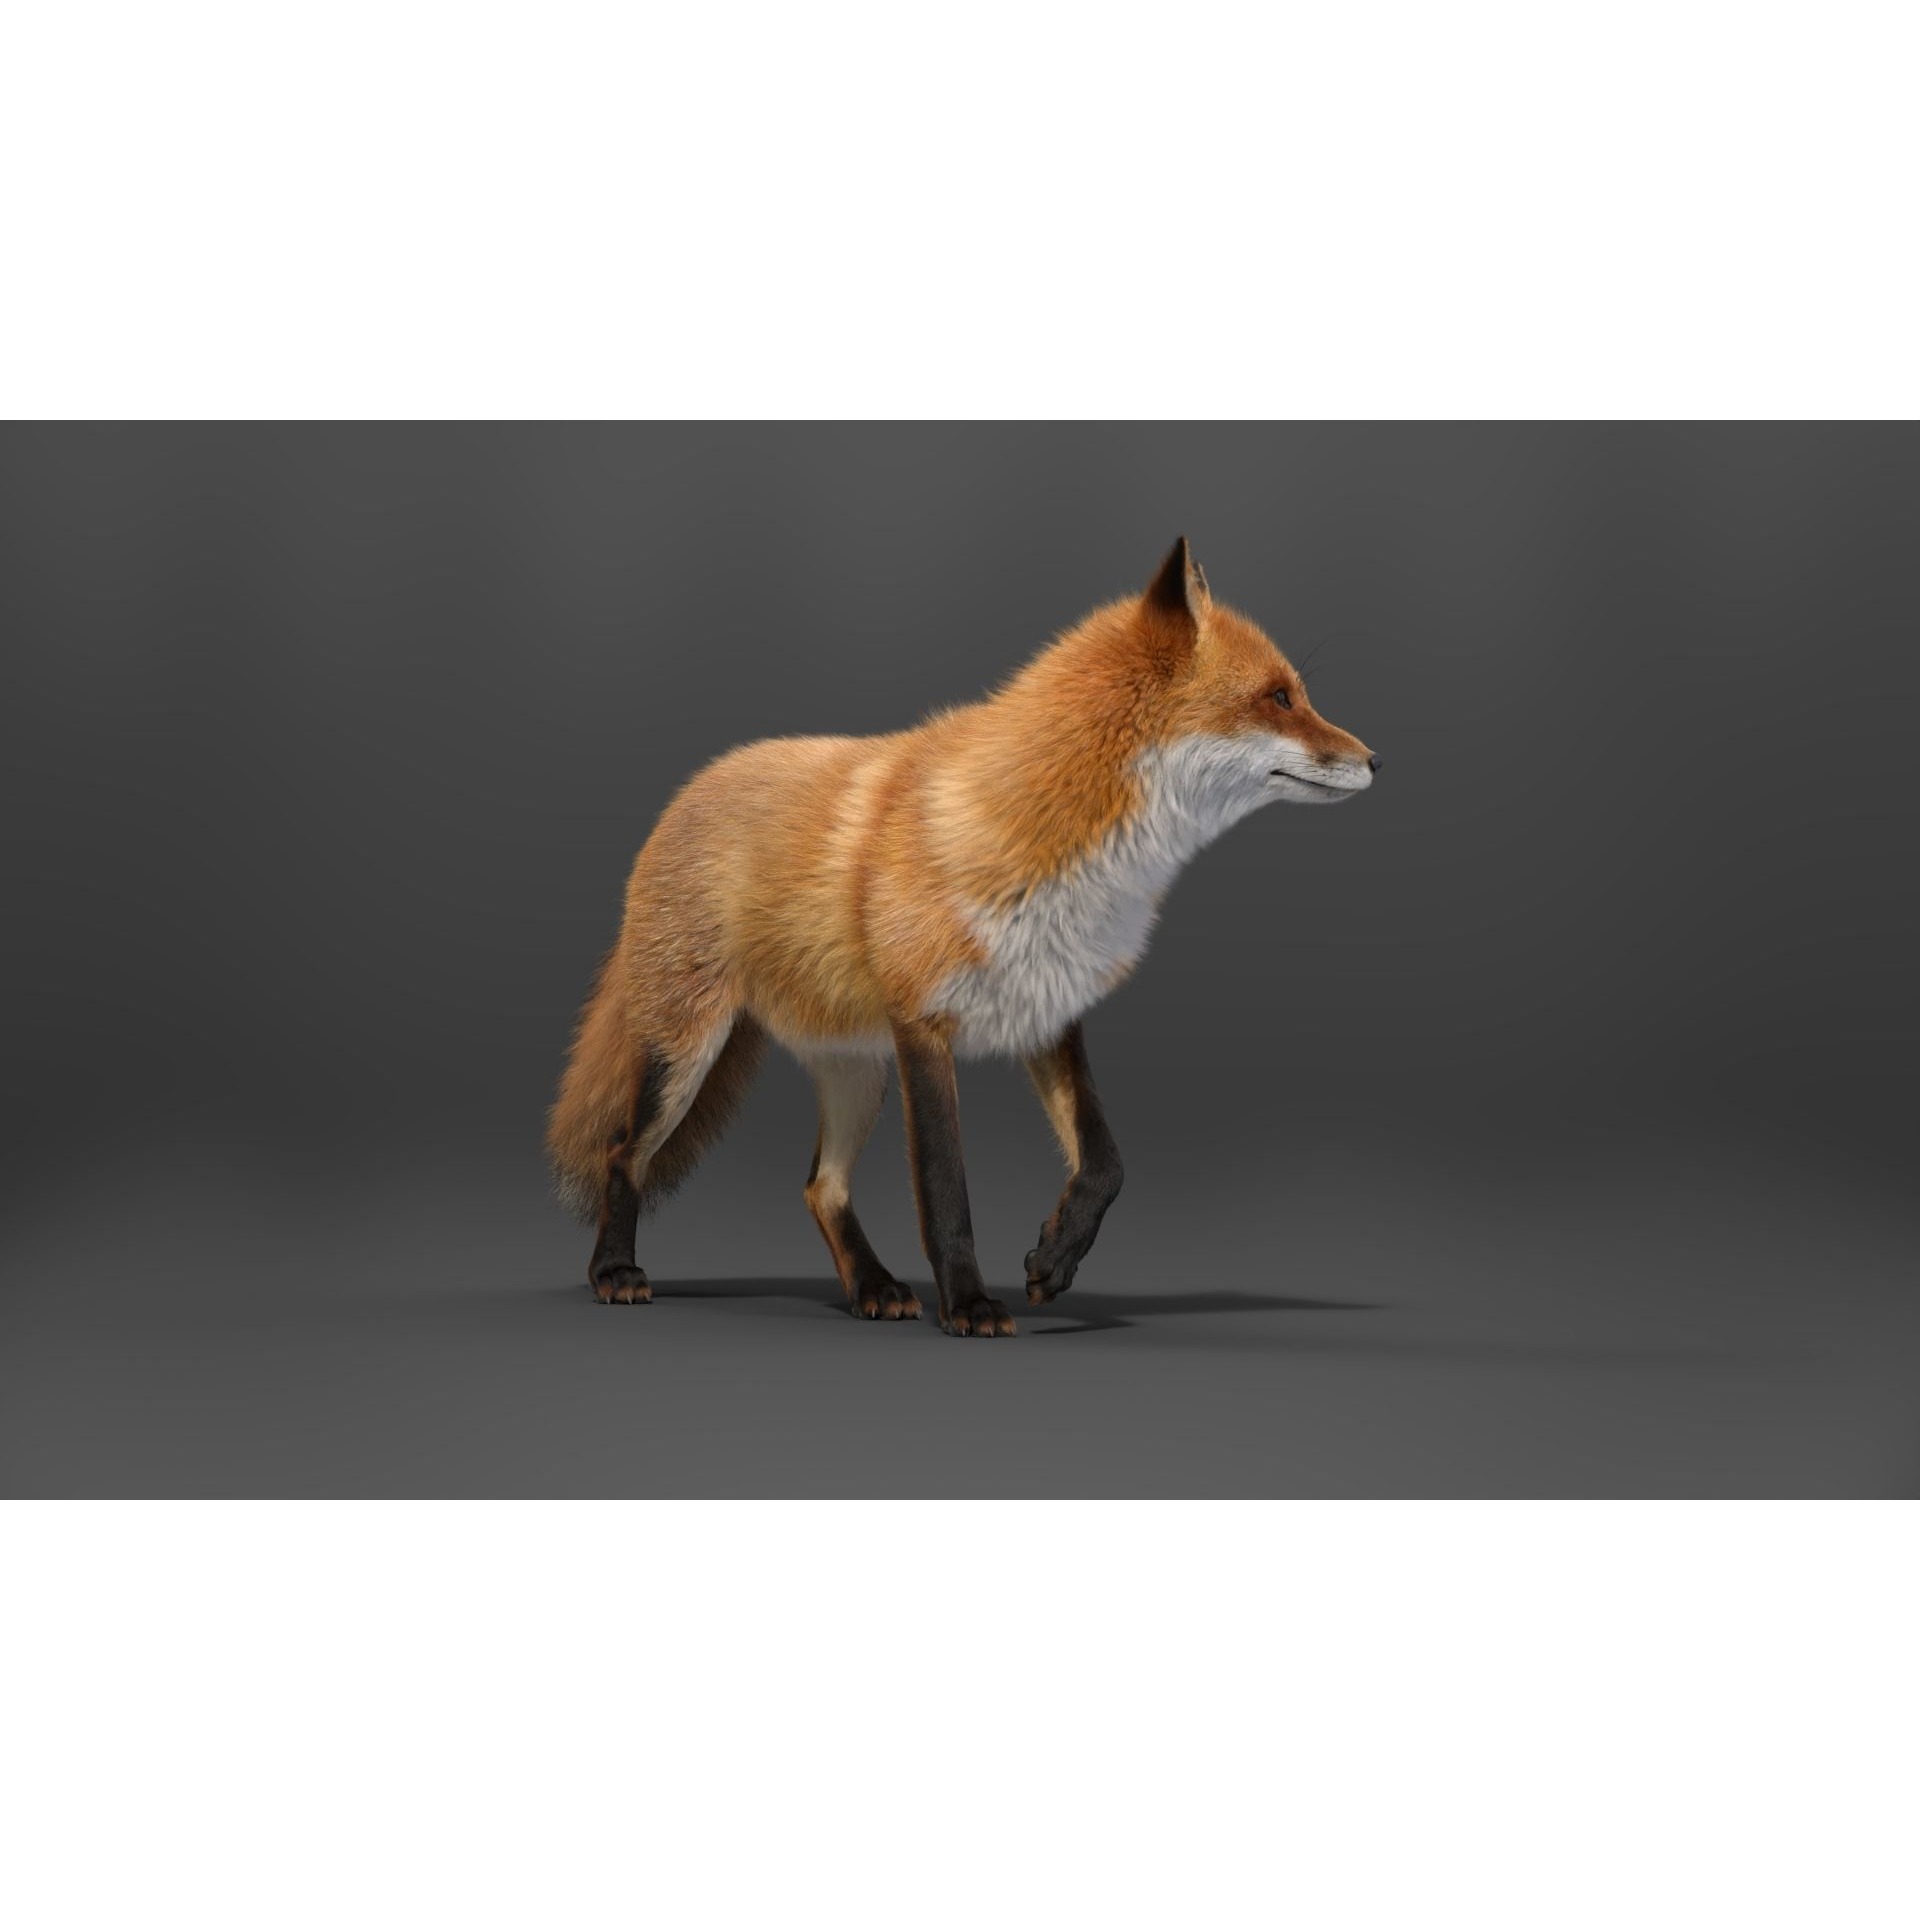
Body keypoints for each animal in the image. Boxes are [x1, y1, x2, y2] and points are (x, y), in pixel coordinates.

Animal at [547, 539, 1379, 1336]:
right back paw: (614, 1271)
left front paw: (1054, 1258)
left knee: (822, 1187)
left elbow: (1106, 1163)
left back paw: (873, 1289)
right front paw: (971, 1306)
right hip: (687, 1055)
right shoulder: (924, 1027)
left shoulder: (1047, 1010)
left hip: (856, 1071)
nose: (1377, 760)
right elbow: (947, 1193)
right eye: (1279, 698)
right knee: (625, 1152)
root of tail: (692, 788)